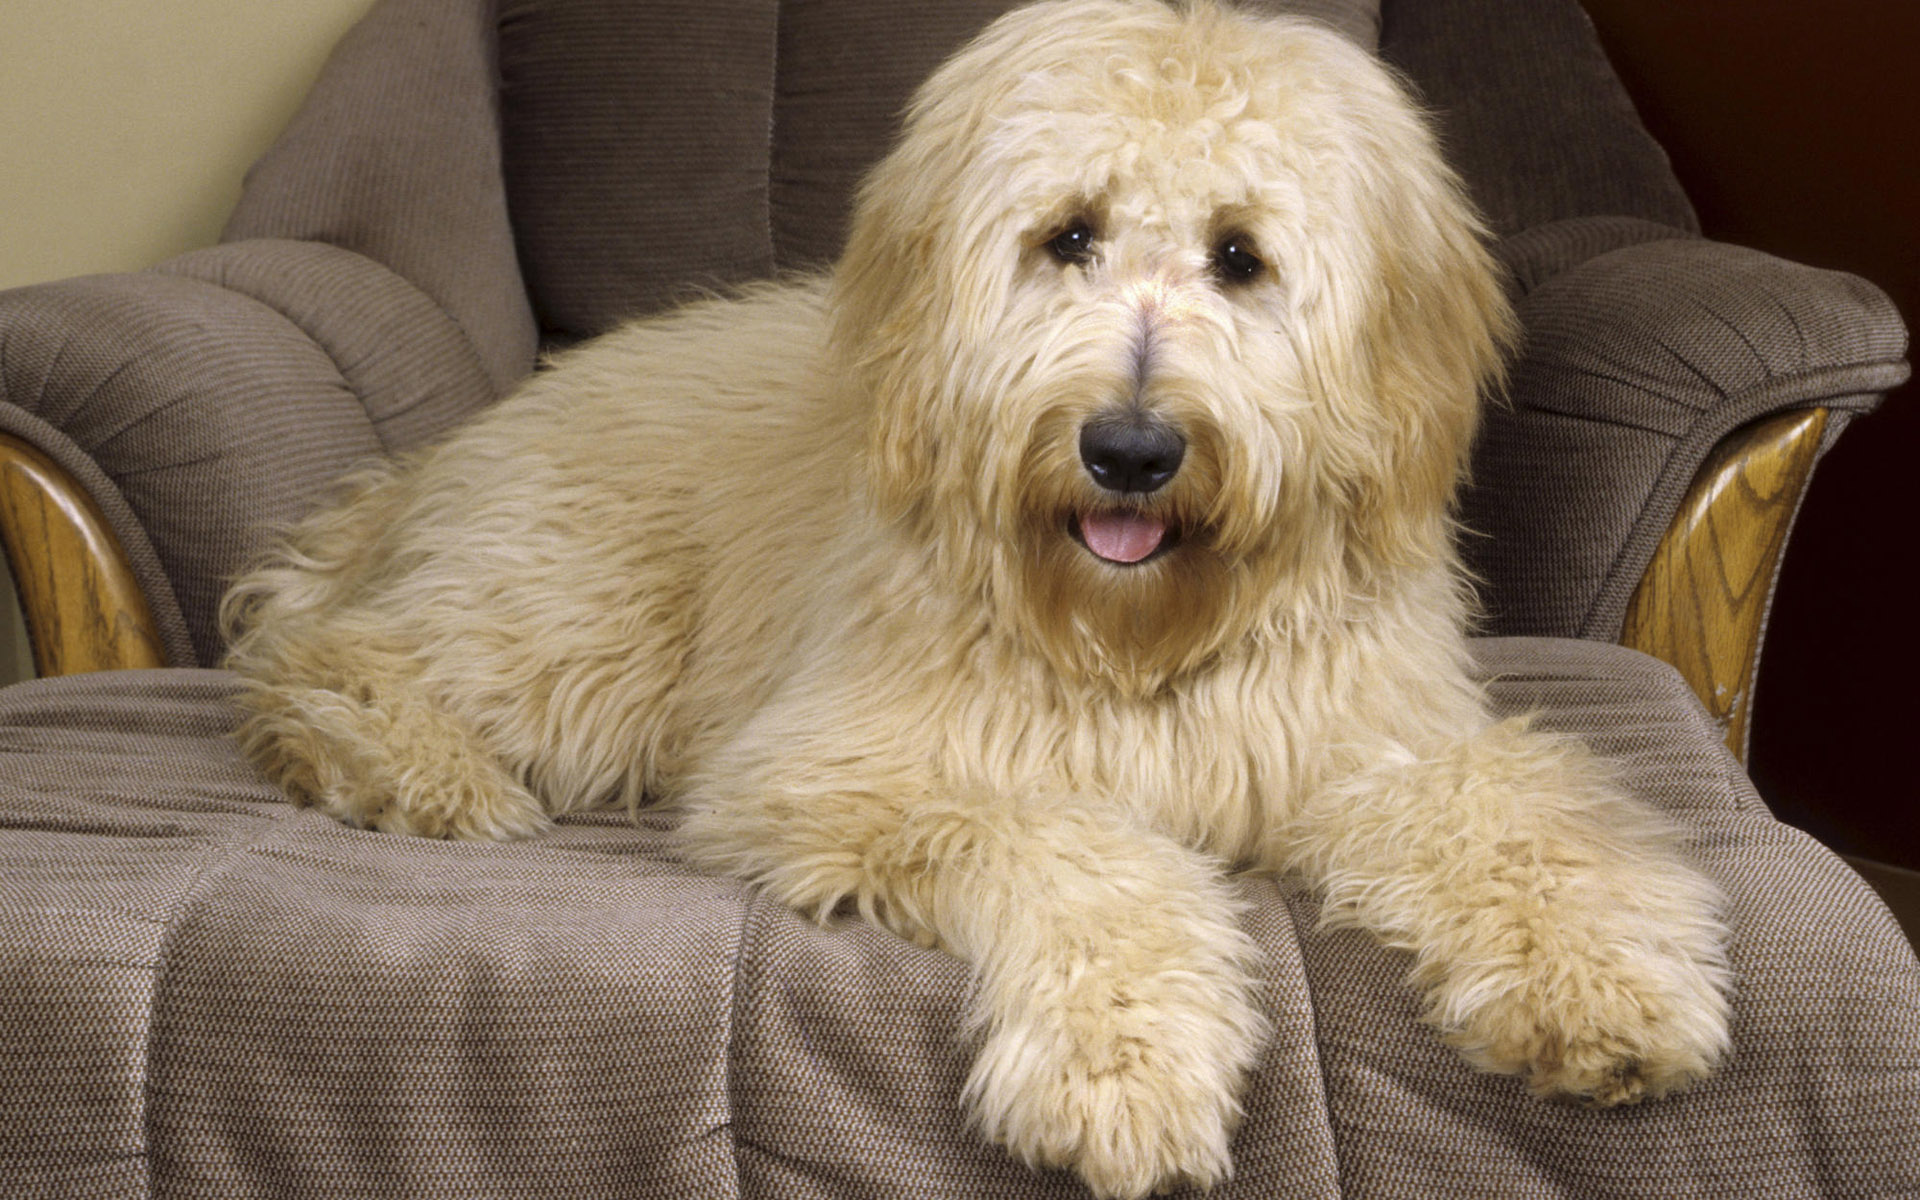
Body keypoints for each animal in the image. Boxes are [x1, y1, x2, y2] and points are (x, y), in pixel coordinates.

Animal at [217, 4, 1735, 1190]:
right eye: (1068, 236)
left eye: (1240, 256)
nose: (1131, 448)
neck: (1136, 643)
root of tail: (437, 462)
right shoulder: (847, 769)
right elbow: (1081, 849)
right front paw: (1119, 1069)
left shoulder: (1370, 745)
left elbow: (1517, 806)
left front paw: (1605, 979)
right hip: (573, 631)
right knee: (323, 653)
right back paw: (411, 768)